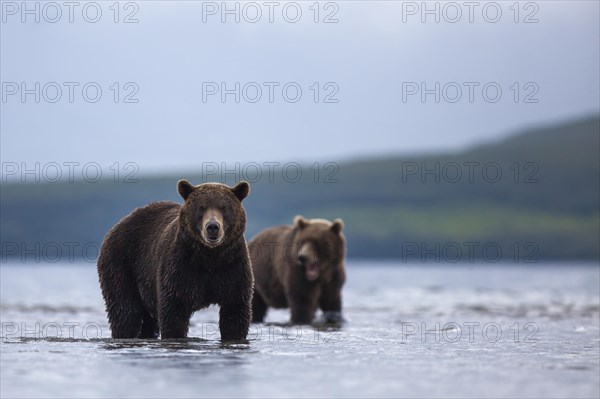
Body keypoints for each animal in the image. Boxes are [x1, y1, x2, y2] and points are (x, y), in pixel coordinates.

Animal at [95, 181, 253, 340]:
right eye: (201, 207)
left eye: (224, 207)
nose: (213, 227)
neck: (210, 256)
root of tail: (118, 225)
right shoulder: (180, 269)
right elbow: (173, 313)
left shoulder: (233, 268)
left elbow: (234, 314)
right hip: (122, 264)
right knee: (126, 312)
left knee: (147, 321)